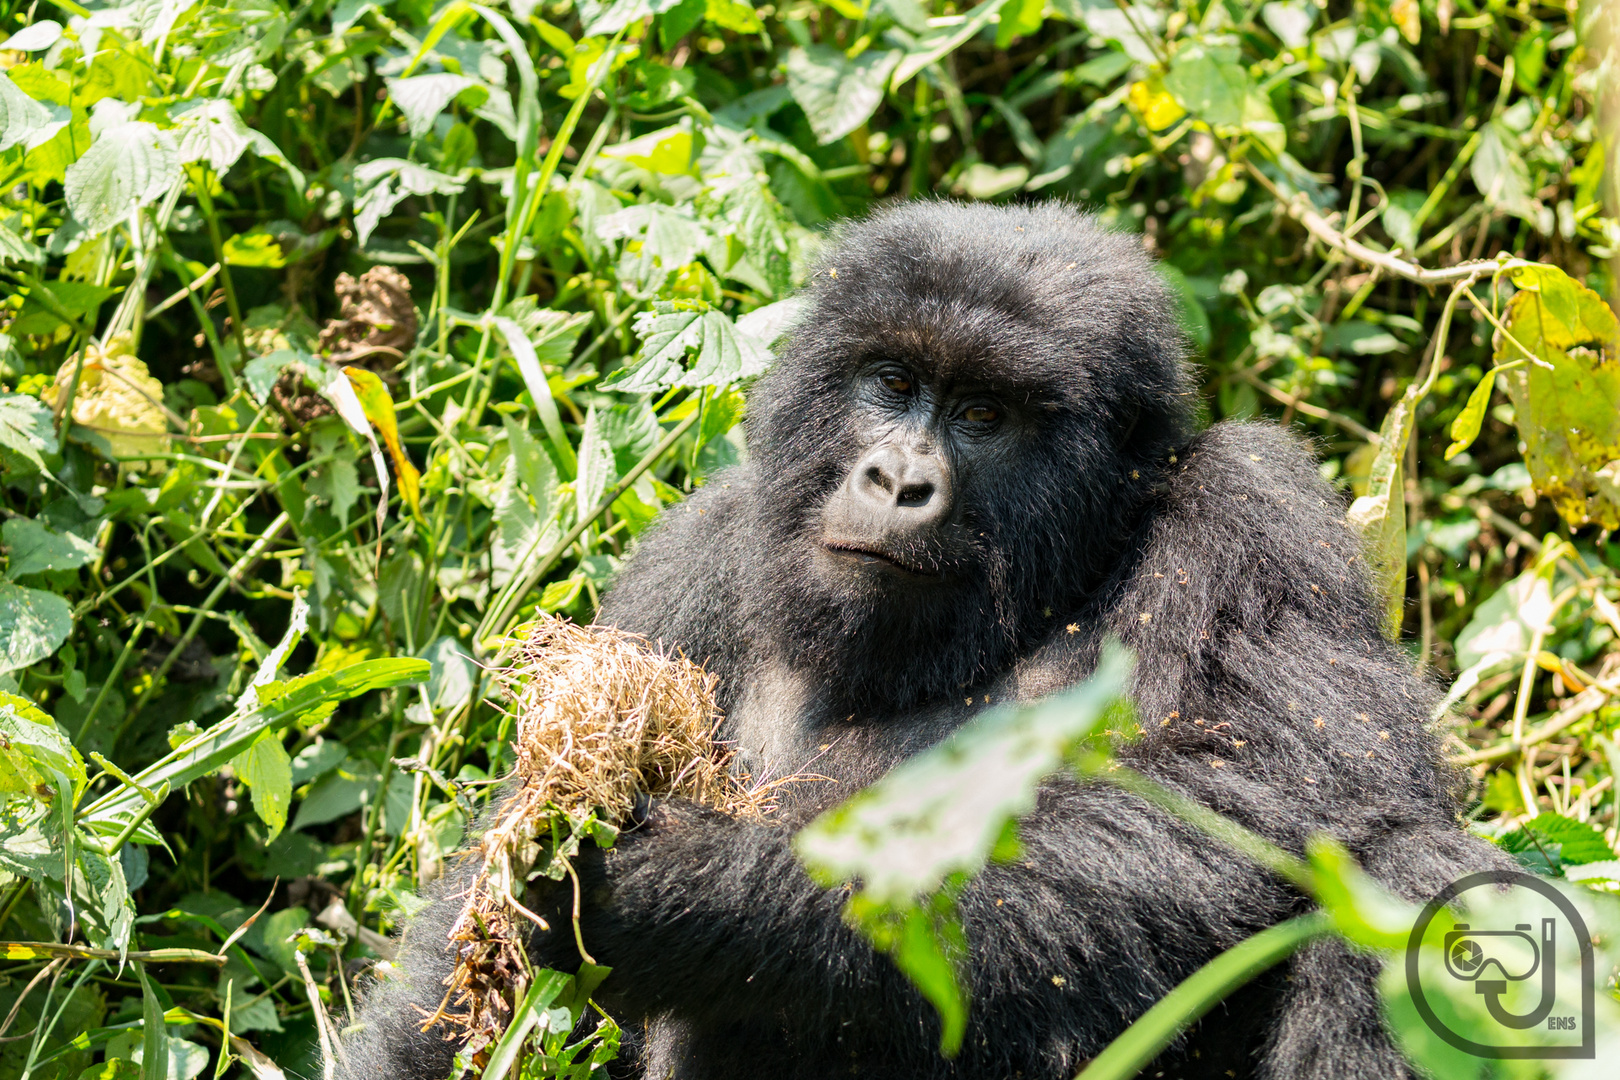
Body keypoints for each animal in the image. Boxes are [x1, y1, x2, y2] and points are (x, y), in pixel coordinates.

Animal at [341, 204, 1503, 1080]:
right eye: (893, 385)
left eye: (985, 414)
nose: (897, 480)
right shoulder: (685, 567)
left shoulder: (1260, 518)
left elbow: (1282, 803)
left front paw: (699, 890)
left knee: (1404, 871)